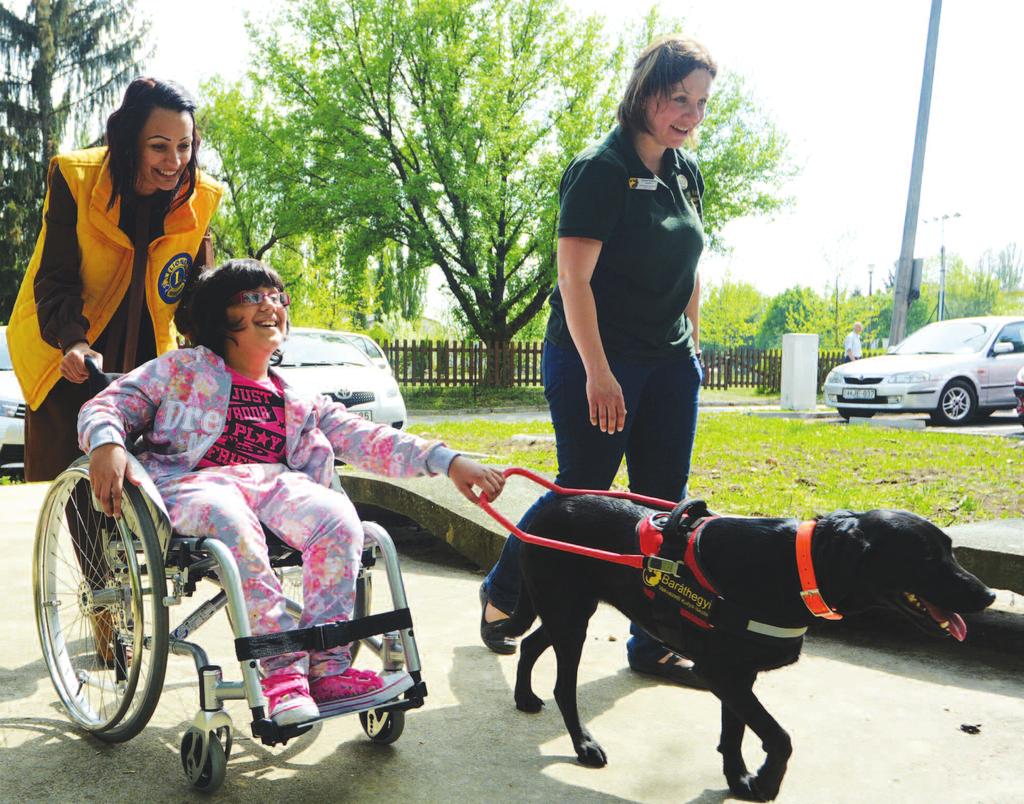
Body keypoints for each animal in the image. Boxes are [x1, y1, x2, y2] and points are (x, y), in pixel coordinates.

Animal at [501, 495, 991, 794]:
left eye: (951, 549)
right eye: (926, 556)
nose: (986, 595)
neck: (798, 567)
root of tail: (544, 508)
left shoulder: (738, 676)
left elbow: (734, 733)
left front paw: (737, 779)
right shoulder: (722, 673)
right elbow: (779, 736)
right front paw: (767, 782)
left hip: (568, 613)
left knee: (530, 644)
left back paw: (524, 697)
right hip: (570, 617)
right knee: (563, 686)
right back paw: (584, 745)